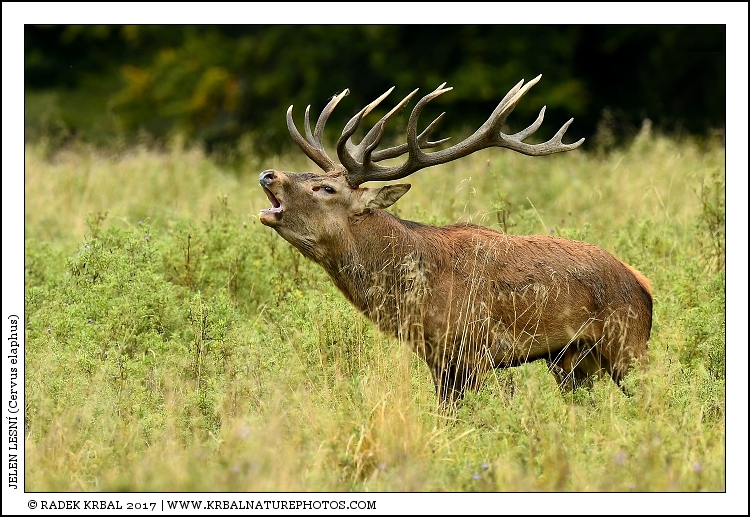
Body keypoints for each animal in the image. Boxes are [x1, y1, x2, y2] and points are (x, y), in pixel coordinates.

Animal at [258, 75, 653, 406]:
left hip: (627, 343)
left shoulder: (472, 350)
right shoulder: (436, 357)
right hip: (570, 360)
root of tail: (643, 285)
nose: (268, 174)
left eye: (326, 188)